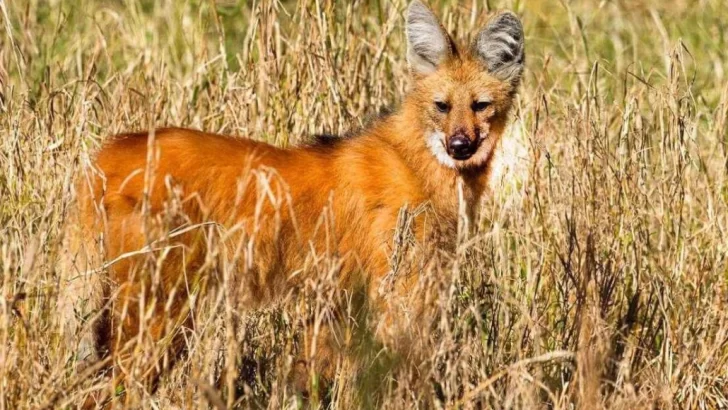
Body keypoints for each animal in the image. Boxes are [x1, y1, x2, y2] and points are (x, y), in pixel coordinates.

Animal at [57, 0, 524, 404]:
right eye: (442, 107)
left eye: (480, 106)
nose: (460, 146)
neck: (417, 163)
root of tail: (106, 154)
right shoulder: (395, 297)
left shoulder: (339, 305)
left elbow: (311, 377)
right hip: (161, 314)